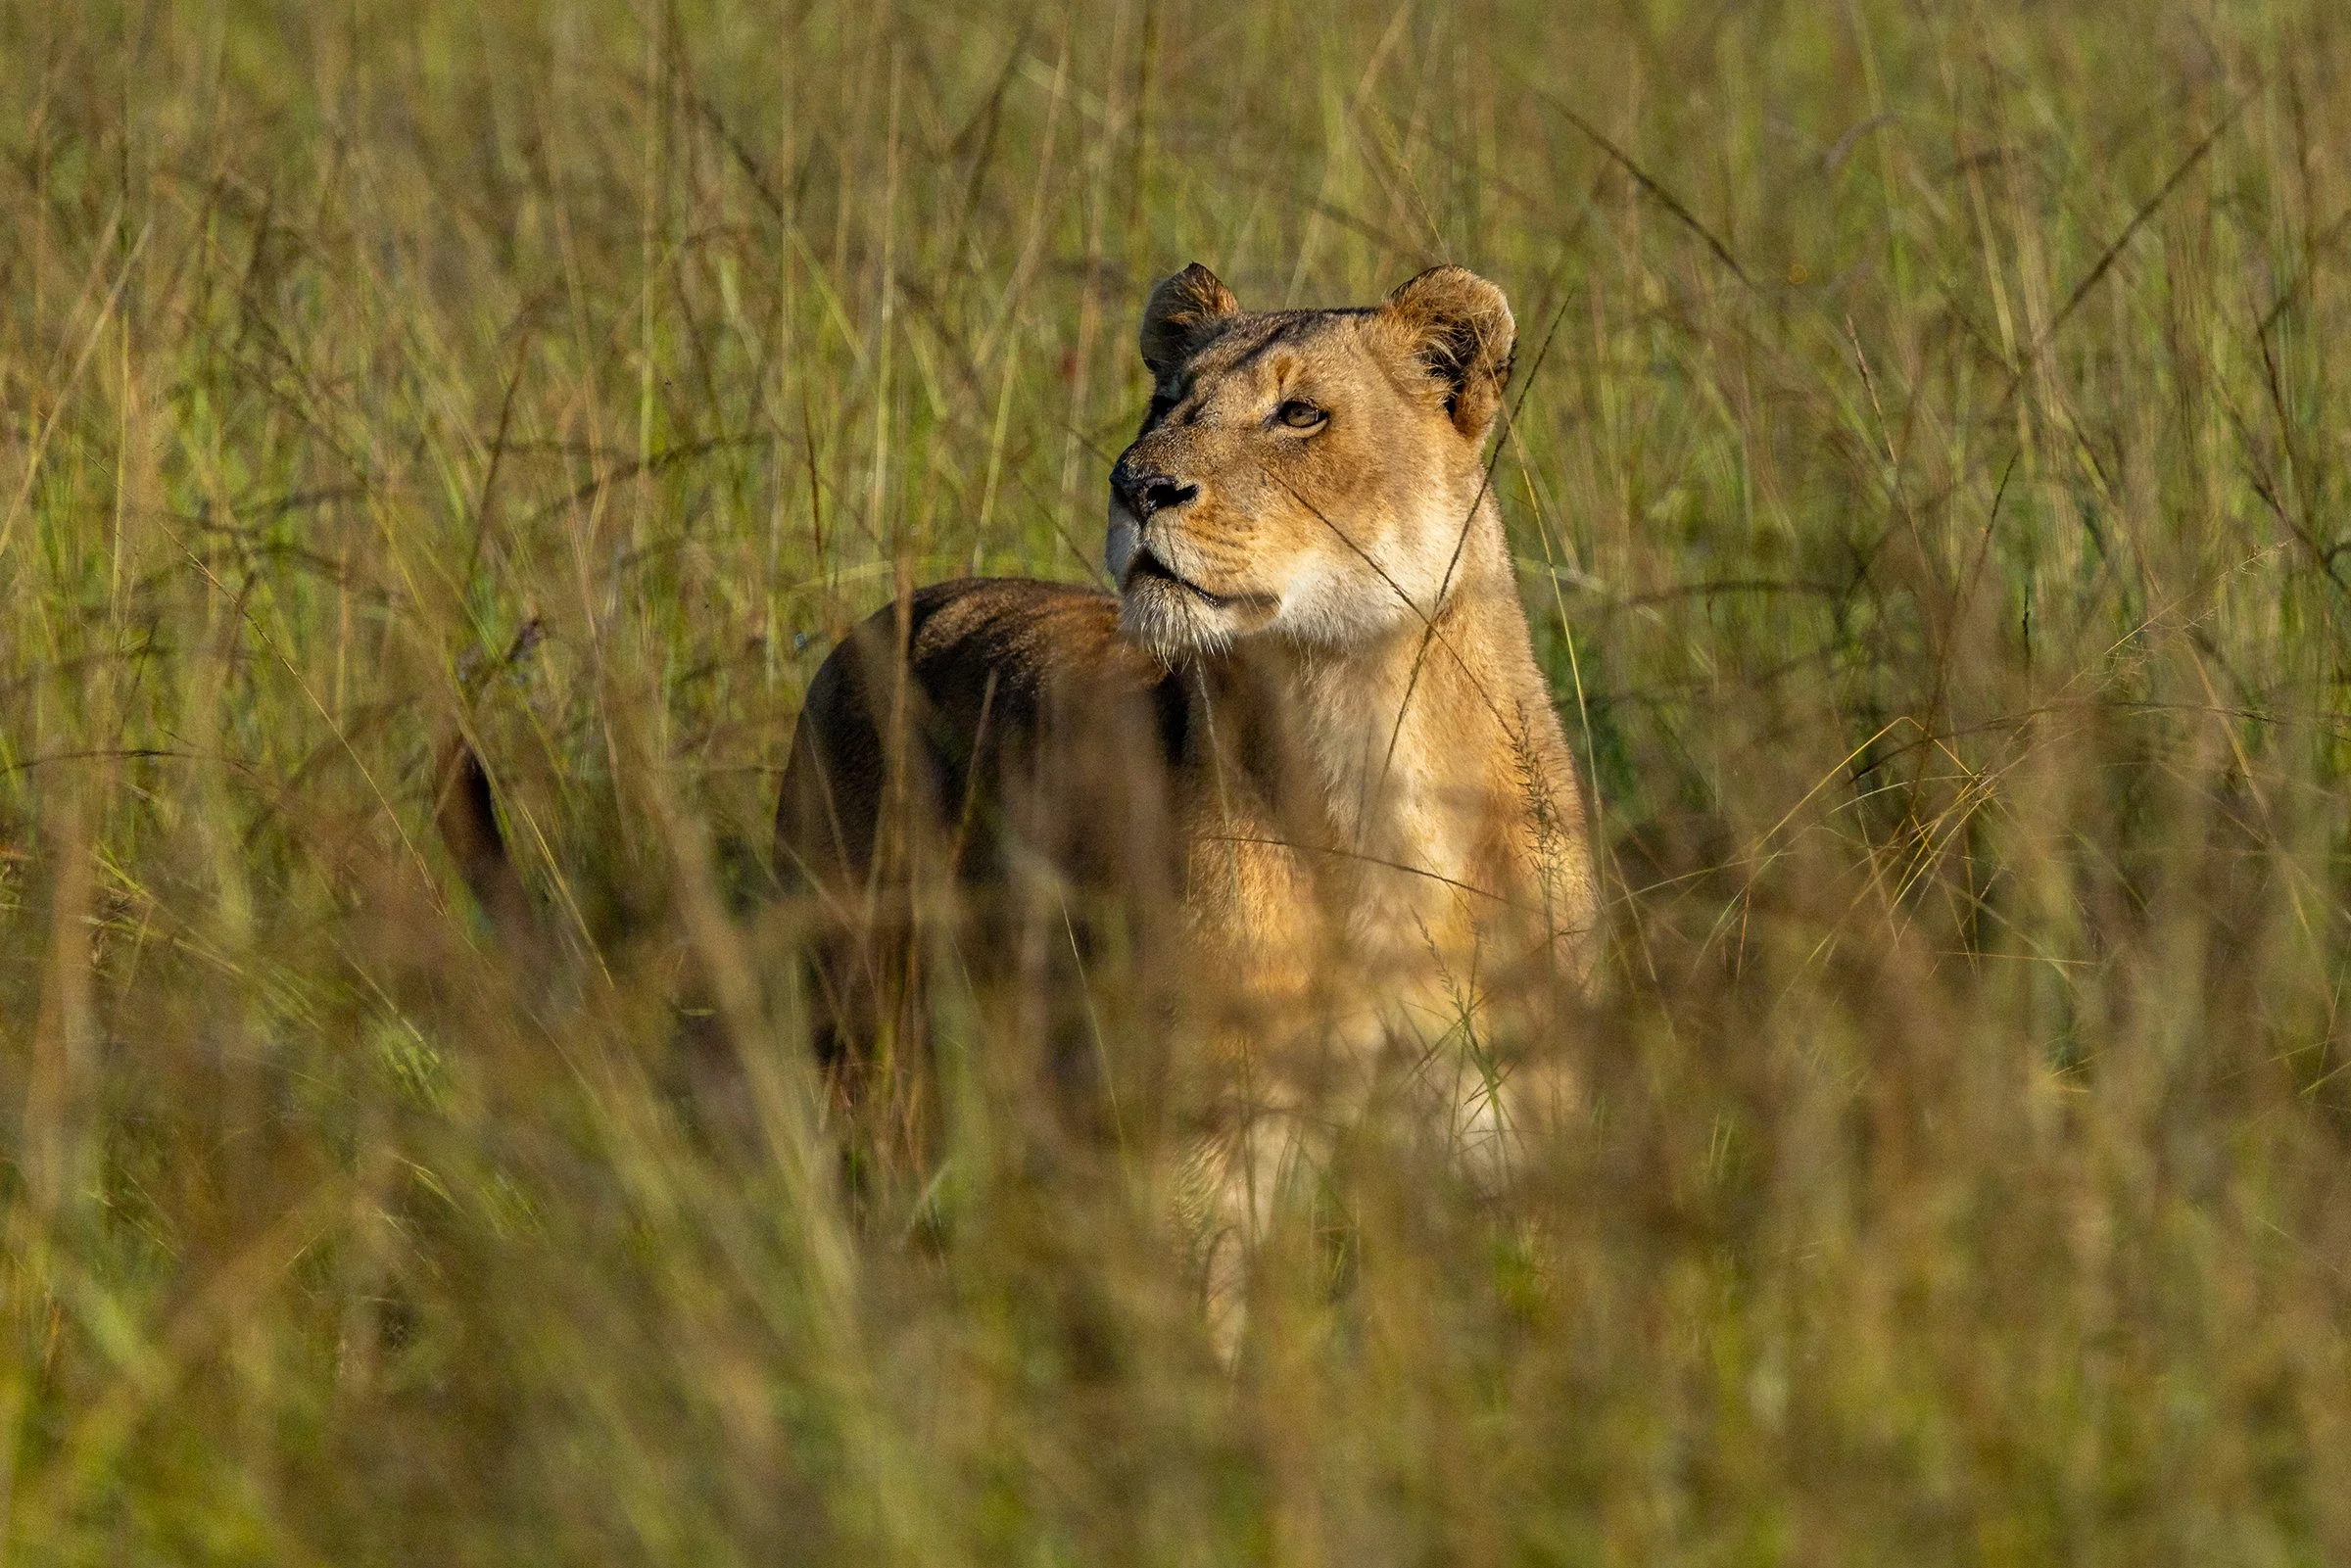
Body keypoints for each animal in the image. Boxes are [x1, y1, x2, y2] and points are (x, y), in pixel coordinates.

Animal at [775, 263, 1600, 1352]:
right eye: (1168, 399)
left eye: (1299, 413)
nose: (1137, 486)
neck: (1361, 731)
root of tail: (886, 614)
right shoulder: (1213, 1134)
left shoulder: (1511, 1111)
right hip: (861, 1023)